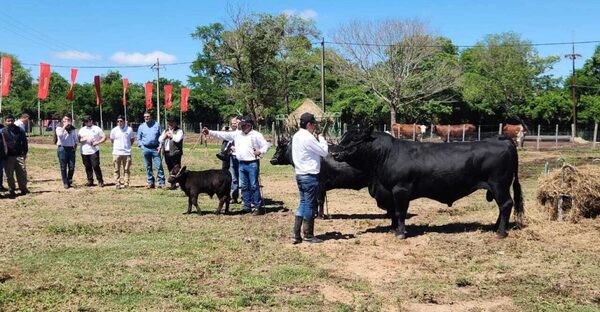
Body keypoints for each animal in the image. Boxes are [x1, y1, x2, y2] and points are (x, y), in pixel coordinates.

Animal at [330, 127, 524, 239]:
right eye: (343, 138)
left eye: (355, 140)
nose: (334, 153)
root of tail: (500, 138)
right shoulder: (390, 192)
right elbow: (393, 213)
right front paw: (393, 229)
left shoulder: (400, 189)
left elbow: (400, 212)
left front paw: (400, 233)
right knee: (503, 206)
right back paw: (495, 227)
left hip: (499, 185)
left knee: (506, 204)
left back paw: (501, 232)